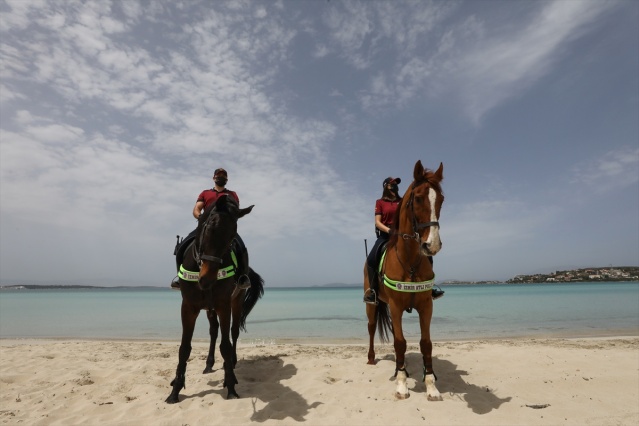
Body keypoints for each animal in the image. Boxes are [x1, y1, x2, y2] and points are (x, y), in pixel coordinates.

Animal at [168, 196, 264, 402]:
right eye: (210, 226)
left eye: (232, 235)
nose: (207, 279)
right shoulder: (188, 307)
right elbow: (184, 348)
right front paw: (175, 389)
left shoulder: (223, 305)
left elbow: (226, 345)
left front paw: (230, 385)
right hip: (209, 309)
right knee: (213, 331)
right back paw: (209, 364)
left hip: (236, 301)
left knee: (233, 332)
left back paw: (232, 363)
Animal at [364, 159, 444, 400]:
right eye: (417, 198)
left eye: (441, 199)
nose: (432, 245)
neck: (409, 261)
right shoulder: (396, 306)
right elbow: (399, 342)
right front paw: (401, 384)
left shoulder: (426, 306)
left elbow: (426, 343)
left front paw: (431, 385)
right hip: (372, 305)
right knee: (371, 328)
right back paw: (372, 358)